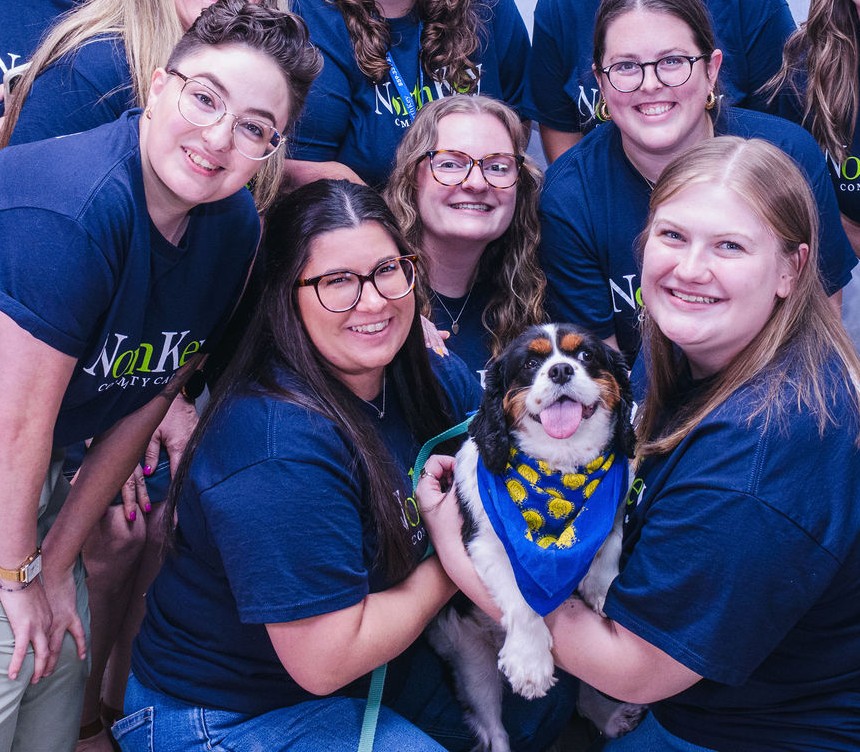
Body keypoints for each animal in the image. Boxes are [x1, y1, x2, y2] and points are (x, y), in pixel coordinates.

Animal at [427, 323, 644, 751]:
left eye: (586, 356)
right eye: (529, 363)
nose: (560, 370)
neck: (560, 469)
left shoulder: (614, 504)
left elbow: (609, 541)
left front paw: (601, 588)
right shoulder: (483, 544)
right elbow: (521, 595)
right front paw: (530, 661)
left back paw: (608, 717)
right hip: (470, 658)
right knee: (493, 730)